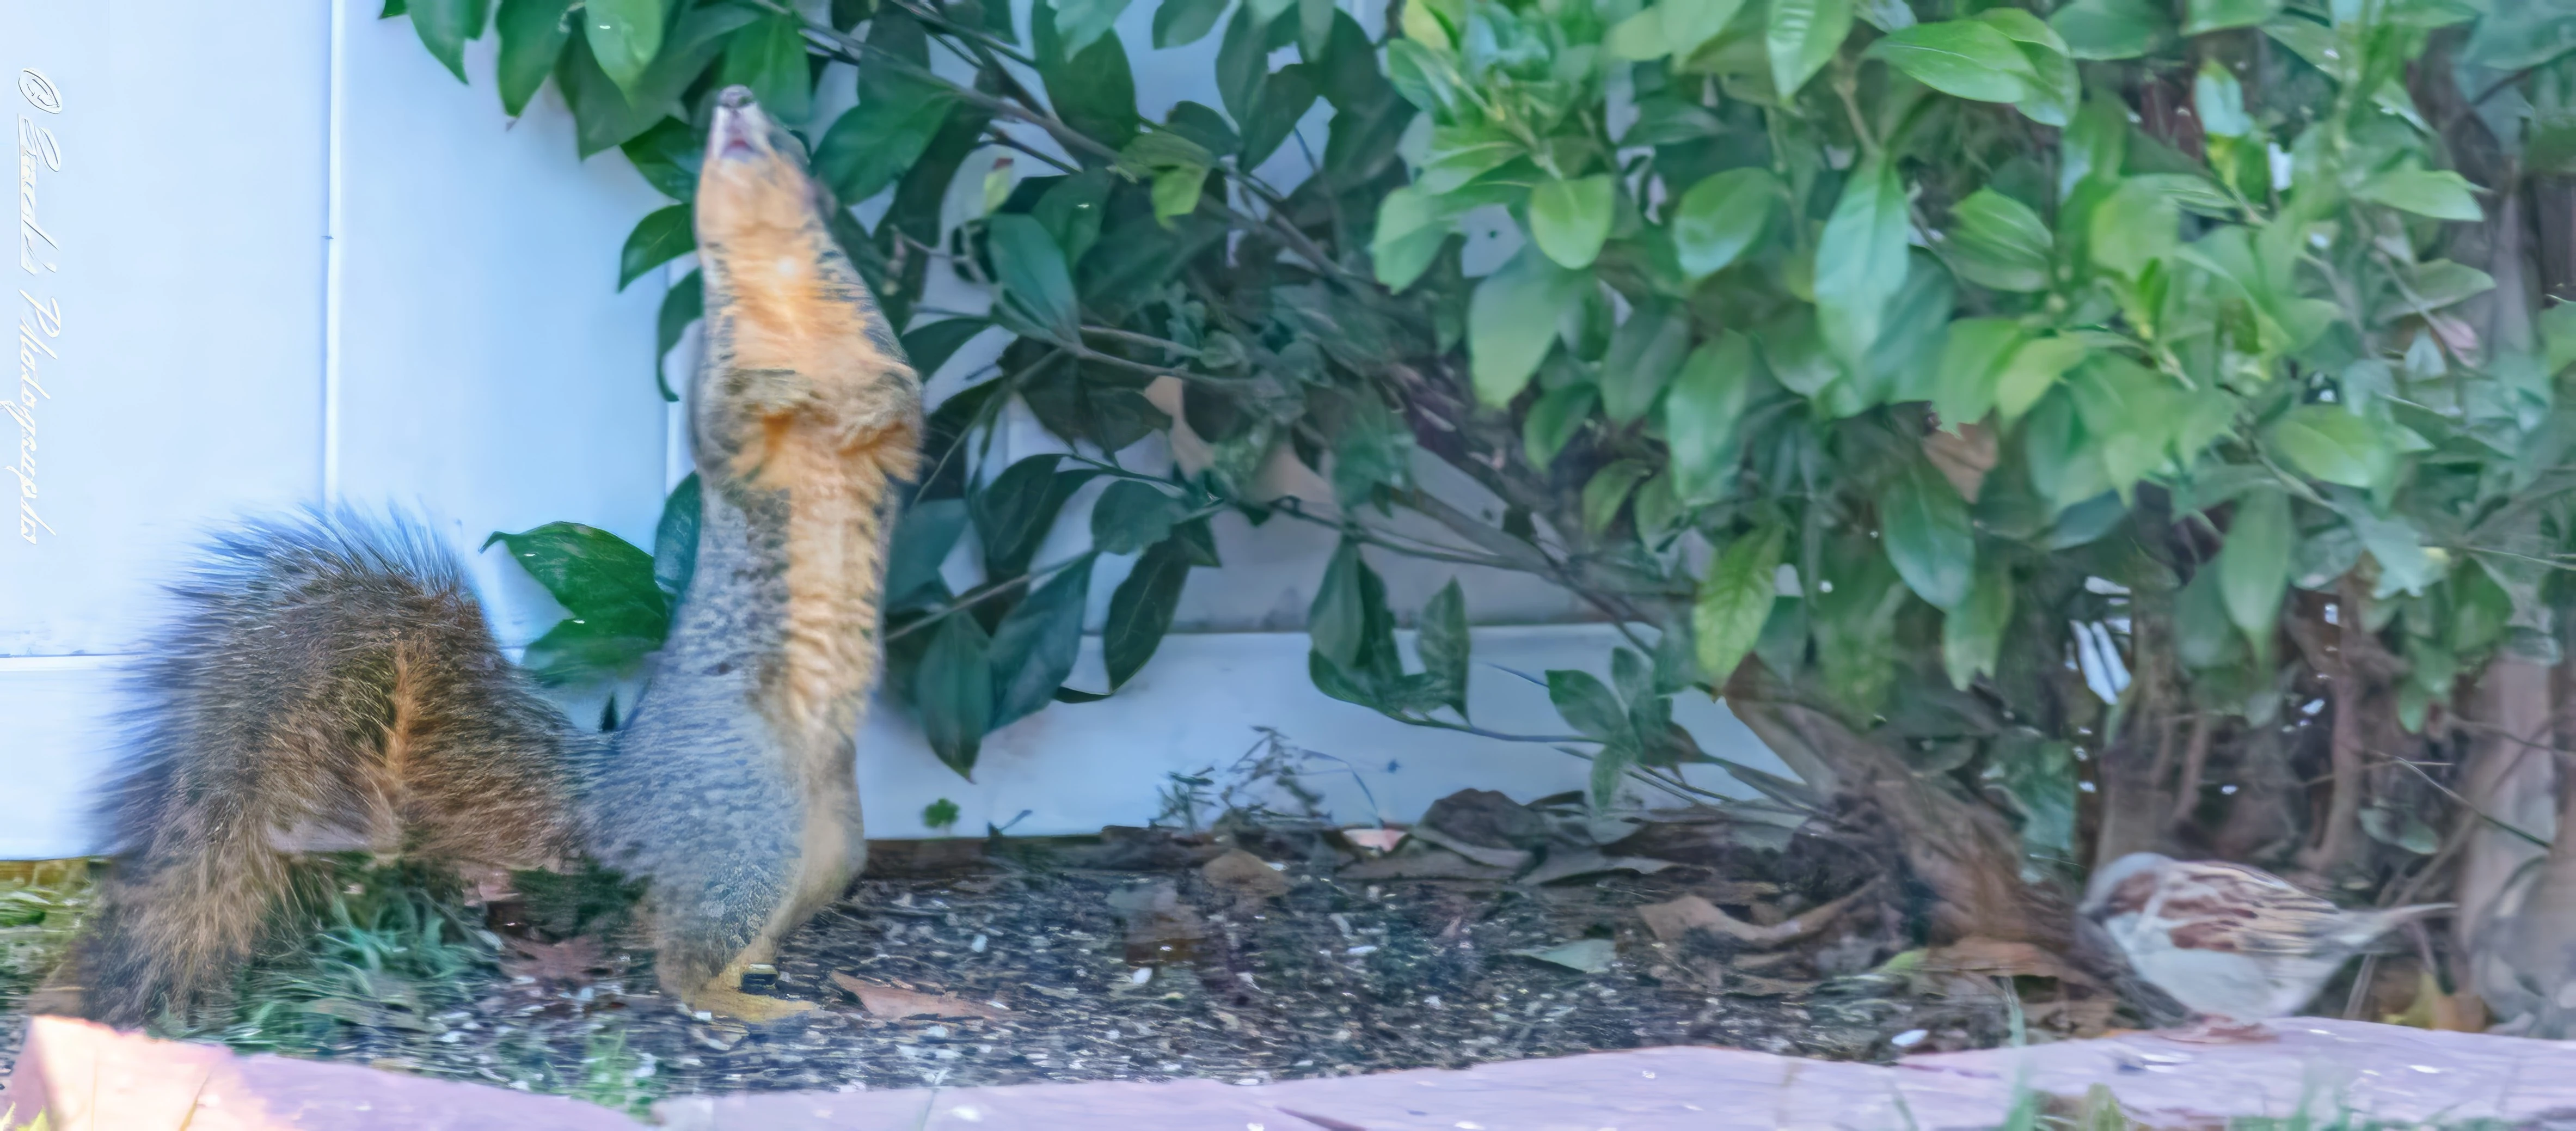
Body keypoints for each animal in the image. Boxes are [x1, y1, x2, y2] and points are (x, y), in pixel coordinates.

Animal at [58, 89, 927, 1025]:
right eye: (706, 143)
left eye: (787, 134)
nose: (733, 100)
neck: (782, 290)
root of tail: (618, 794)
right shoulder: (711, 385)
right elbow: (726, 433)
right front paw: (781, 395)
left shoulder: (881, 348)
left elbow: (907, 410)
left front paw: (863, 410)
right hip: (748, 823)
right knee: (676, 958)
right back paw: (743, 1003)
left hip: (830, 842)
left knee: (691, 923)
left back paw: (757, 976)